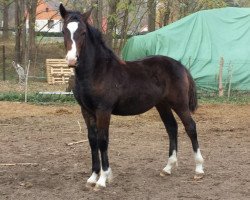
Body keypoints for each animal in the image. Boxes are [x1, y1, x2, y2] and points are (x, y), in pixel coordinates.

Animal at [59, 3, 204, 190]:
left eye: (83, 32)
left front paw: (103, 179)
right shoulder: (86, 111)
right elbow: (92, 140)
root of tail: (180, 65)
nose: (71, 60)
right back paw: (168, 168)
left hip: (180, 103)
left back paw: (199, 169)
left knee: (190, 127)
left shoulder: (103, 110)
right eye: (64, 31)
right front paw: (93, 177)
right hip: (162, 105)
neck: (97, 71)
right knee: (172, 128)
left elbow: (103, 140)